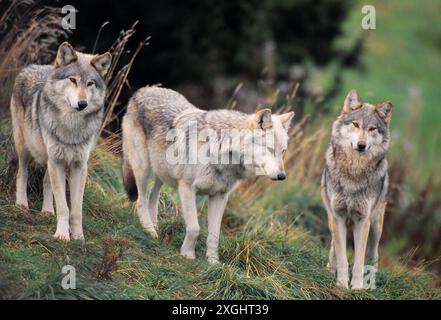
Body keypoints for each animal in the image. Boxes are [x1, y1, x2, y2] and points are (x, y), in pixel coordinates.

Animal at [10, 42, 111, 240]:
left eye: (90, 83)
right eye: (72, 80)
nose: (82, 104)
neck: (71, 127)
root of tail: (32, 66)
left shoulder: (79, 165)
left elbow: (76, 209)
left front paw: (78, 237)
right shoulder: (56, 160)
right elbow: (64, 207)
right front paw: (63, 235)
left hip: (52, 160)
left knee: (47, 183)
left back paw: (48, 211)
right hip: (25, 148)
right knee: (22, 173)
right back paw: (22, 204)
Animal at [122, 86, 294, 264]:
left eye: (282, 151)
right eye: (270, 149)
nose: (282, 176)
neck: (222, 151)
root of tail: (143, 90)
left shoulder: (220, 196)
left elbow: (214, 234)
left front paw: (213, 261)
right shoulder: (186, 188)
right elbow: (194, 228)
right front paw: (187, 254)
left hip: (161, 175)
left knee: (153, 197)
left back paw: (155, 229)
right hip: (143, 169)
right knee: (141, 201)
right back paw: (149, 231)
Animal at [320, 90, 392, 290]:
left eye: (372, 129)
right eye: (355, 124)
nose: (361, 145)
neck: (354, 171)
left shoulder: (363, 221)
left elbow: (359, 259)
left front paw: (358, 287)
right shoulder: (338, 216)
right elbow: (343, 256)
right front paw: (342, 284)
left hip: (376, 226)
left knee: (373, 253)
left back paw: (371, 278)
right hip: (332, 218)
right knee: (334, 245)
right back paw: (330, 268)